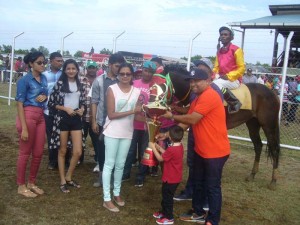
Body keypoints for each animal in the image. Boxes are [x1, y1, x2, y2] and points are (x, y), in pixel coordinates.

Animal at [152, 64, 282, 189]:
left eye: (160, 87)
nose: (152, 103)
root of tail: (273, 93)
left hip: (268, 125)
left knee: (274, 148)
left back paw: (274, 180)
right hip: (253, 123)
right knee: (258, 146)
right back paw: (252, 174)